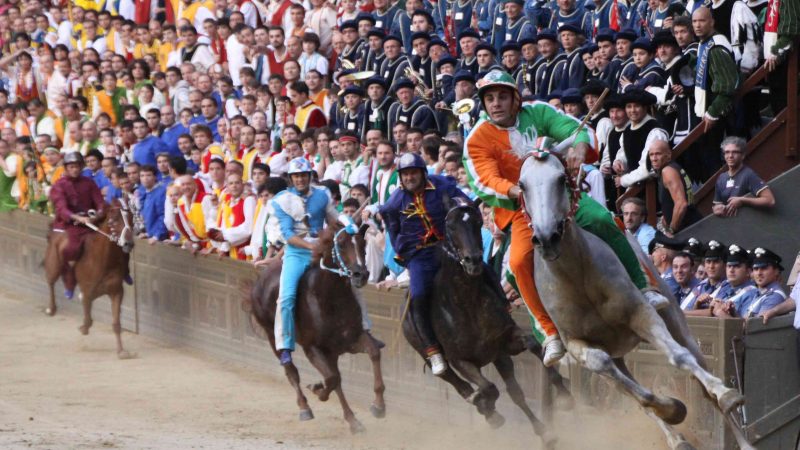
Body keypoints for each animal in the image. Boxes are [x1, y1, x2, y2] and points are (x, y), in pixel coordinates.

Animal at [43, 197, 134, 358]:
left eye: (131, 218)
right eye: (114, 220)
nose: (128, 243)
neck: (104, 261)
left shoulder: (116, 291)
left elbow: (116, 323)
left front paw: (121, 351)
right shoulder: (87, 291)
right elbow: (87, 317)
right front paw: (83, 328)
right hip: (53, 263)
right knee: (50, 281)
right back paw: (51, 308)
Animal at [250, 224, 388, 432]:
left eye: (363, 245)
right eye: (341, 244)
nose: (361, 275)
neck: (330, 298)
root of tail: (262, 277)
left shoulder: (350, 340)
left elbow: (373, 353)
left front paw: (378, 406)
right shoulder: (313, 348)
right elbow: (331, 379)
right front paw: (317, 390)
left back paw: (352, 420)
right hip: (272, 337)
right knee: (292, 372)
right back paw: (304, 407)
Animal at [516, 150, 752, 450]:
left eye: (560, 179)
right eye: (522, 185)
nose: (547, 238)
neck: (577, 276)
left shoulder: (641, 314)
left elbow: (679, 357)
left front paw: (721, 394)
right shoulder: (578, 345)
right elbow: (626, 385)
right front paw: (673, 409)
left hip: (676, 322)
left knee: (698, 370)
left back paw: (738, 430)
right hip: (616, 353)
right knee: (624, 384)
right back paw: (677, 438)